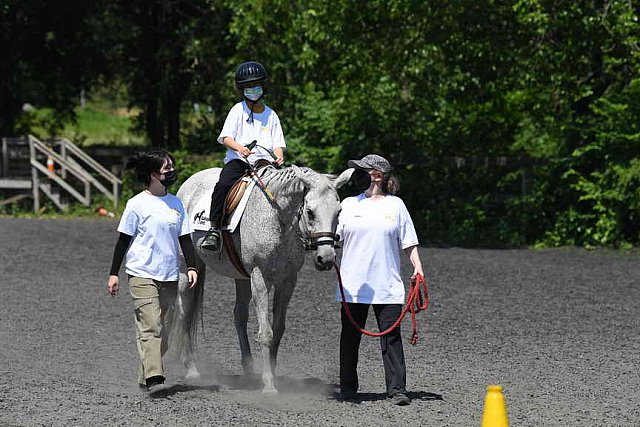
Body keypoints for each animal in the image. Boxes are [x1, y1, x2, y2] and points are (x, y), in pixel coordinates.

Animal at [172, 165, 352, 394]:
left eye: (339, 212)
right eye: (310, 212)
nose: (326, 258)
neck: (277, 218)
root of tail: (189, 183)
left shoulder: (288, 281)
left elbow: (278, 330)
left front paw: (272, 375)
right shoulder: (260, 277)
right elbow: (266, 333)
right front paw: (269, 385)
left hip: (242, 277)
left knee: (238, 315)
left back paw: (249, 370)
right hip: (187, 269)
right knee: (185, 311)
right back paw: (192, 369)